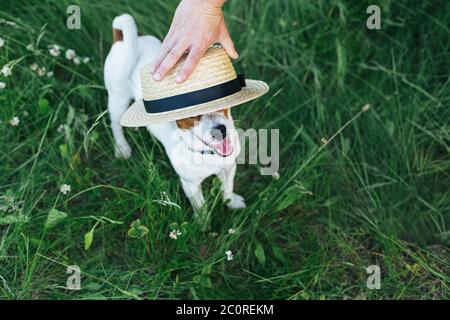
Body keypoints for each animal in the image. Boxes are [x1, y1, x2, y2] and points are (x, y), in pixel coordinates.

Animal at [104, 13, 246, 211]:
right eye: (191, 116)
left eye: (221, 103)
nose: (221, 130)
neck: (206, 154)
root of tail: (121, 39)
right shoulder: (190, 185)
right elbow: (201, 208)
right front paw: (203, 220)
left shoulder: (229, 169)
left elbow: (227, 188)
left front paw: (231, 202)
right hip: (118, 99)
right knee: (115, 125)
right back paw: (122, 148)